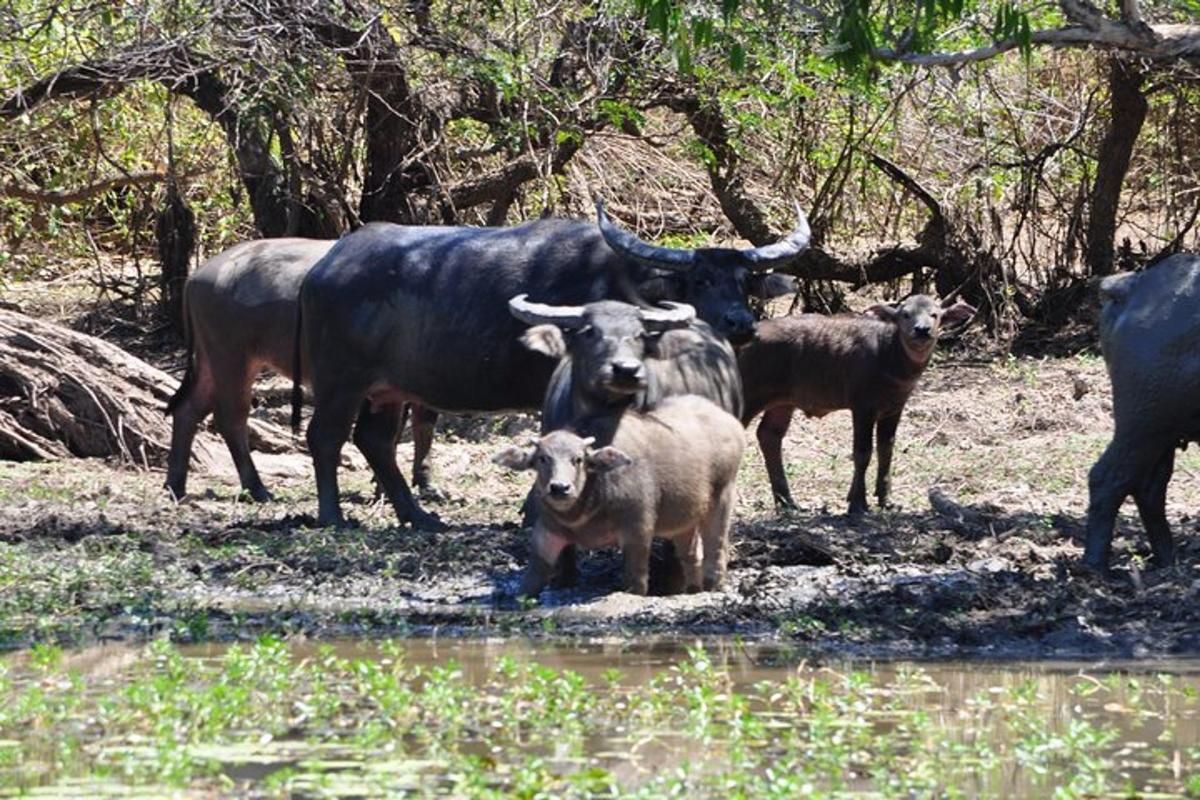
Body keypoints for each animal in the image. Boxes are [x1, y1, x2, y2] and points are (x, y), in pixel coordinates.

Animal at [162, 235, 439, 503]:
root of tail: (195, 277)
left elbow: (423, 421)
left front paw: (426, 484)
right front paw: (384, 488)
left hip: (212, 360)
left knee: (188, 409)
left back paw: (176, 485)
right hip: (232, 358)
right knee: (231, 419)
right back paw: (257, 489)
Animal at [494, 398, 739, 597]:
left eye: (578, 459)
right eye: (543, 459)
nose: (559, 488)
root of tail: (729, 420)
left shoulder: (638, 529)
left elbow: (636, 580)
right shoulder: (547, 532)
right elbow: (532, 578)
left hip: (723, 495)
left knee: (717, 545)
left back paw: (713, 584)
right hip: (684, 520)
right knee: (691, 554)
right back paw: (693, 588)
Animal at [739, 292, 974, 513]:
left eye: (935, 315)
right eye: (905, 314)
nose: (922, 330)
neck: (888, 356)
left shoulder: (894, 408)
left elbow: (886, 450)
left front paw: (886, 499)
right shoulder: (862, 407)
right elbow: (862, 453)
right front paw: (858, 503)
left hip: (782, 402)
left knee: (769, 435)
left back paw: (787, 502)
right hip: (748, 397)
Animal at [1080, 253, 1200, 573]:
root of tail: (1132, 287)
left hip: (1163, 433)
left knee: (1148, 488)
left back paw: (1168, 561)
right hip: (1143, 425)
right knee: (1108, 478)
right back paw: (1095, 567)